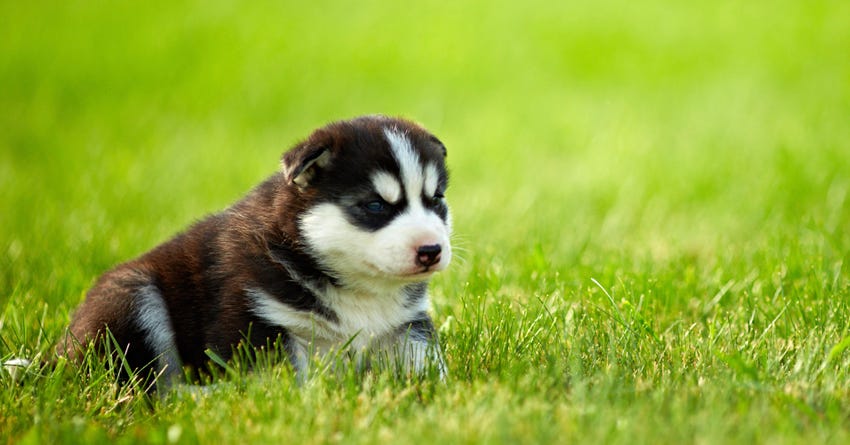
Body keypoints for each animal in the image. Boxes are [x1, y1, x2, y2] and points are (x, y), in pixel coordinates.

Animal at [58, 115, 450, 388]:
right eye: (375, 205)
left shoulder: (406, 324)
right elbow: (283, 383)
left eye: (436, 200)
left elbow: (427, 362)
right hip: (130, 299)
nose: (431, 250)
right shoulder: (251, 322)